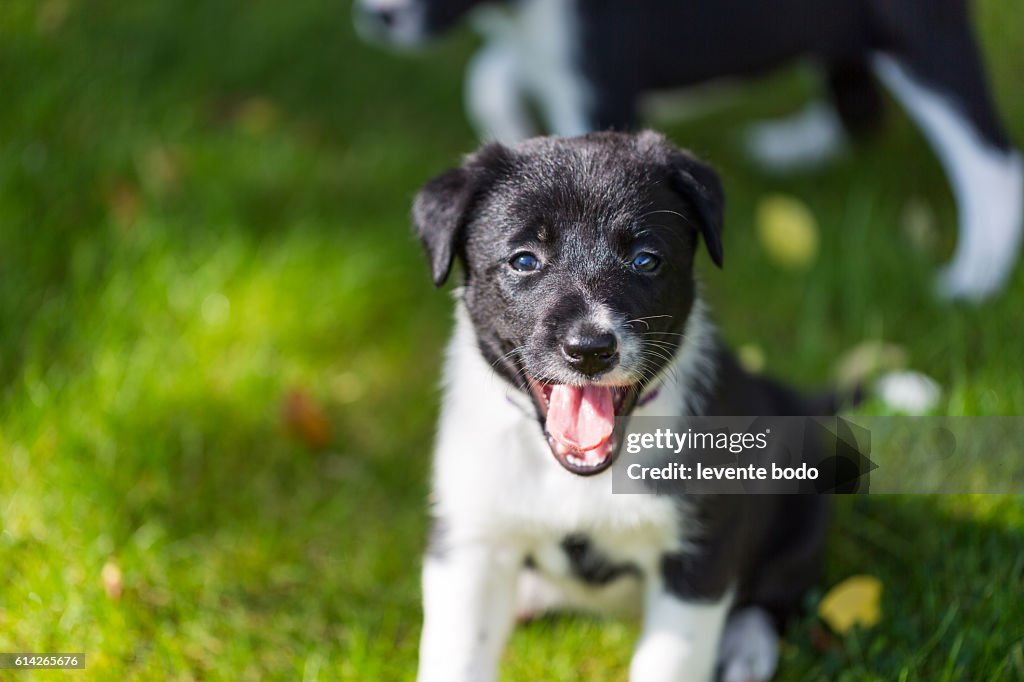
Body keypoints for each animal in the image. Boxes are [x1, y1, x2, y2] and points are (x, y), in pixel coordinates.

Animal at [356, 0, 1019, 301]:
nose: (379, 17)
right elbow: (488, 77)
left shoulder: (599, 74)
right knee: (858, 102)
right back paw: (795, 146)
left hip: (916, 30)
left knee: (990, 157)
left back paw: (975, 277)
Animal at [411, 129, 835, 679]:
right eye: (524, 260)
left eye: (645, 260)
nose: (590, 349)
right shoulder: (470, 540)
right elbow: (457, 656)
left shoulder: (699, 554)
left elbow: (670, 662)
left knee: (774, 594)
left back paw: (746, 647)